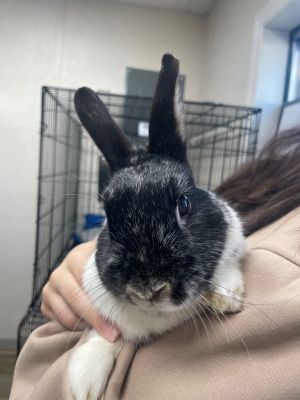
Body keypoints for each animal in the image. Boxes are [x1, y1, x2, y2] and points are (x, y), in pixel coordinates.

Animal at [68, 54, 246, 400]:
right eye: (109, 218)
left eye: (183, 204)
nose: (149, 289)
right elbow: (106, 336)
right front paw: (82, 383)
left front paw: (228, 297)